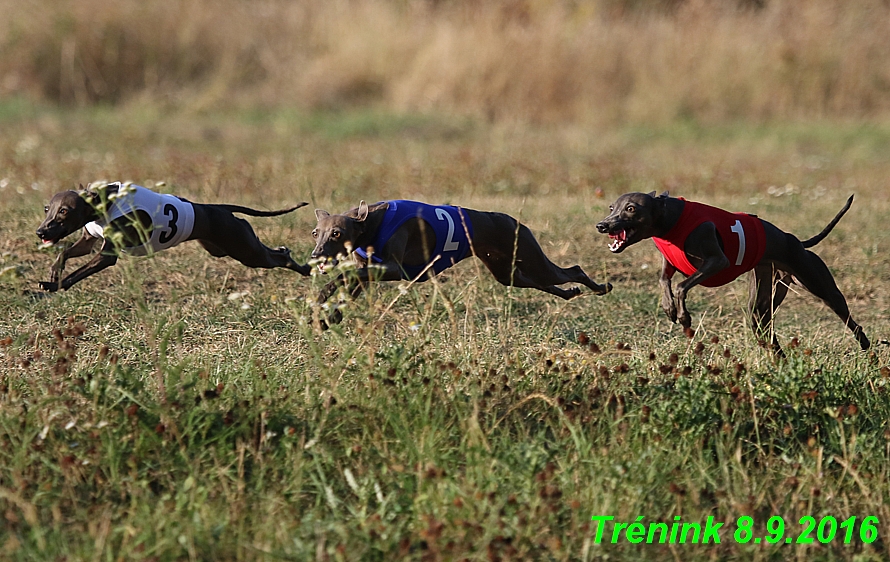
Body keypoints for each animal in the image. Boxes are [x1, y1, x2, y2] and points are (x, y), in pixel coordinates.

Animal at [36, 182, 310, 290]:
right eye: (47, 209)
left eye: (64, 211)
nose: (41, 231)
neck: (104, 202)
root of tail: (219, 208)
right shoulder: (88, 241)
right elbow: (64, 253)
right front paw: (53, 271)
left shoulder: (107, 255)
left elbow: (76, 274)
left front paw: (53, 285)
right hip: (220, 248)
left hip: (244, 249)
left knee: (279, 257)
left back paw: (305, 267)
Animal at [306, 199, 612, 326]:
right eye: (315, 232)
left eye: (337, 233)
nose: (315, 257)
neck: (371, 222)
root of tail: (514, 221)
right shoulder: (368, 270)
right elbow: (350, 285)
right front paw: (328, 316)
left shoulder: (392, 269)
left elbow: (345, 278)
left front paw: (323, 300)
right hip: (509, 273)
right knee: (546, 283)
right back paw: (571, 293)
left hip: (532, 260)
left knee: (572, 270)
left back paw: (600, 288)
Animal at [592, 190, 864, 352]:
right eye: (611, 207)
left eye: (631, 208)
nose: (602, 225)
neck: (670, 218)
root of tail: (796, 241)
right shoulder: (668, 263)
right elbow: (663, 280)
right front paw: (669, 308)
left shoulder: (717, 261)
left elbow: (681, 285)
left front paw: (684, 317)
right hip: (763, 298)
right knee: (765, 328)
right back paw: (777, 358)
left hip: (820, 285)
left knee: (852, 321)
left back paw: (866, 346)